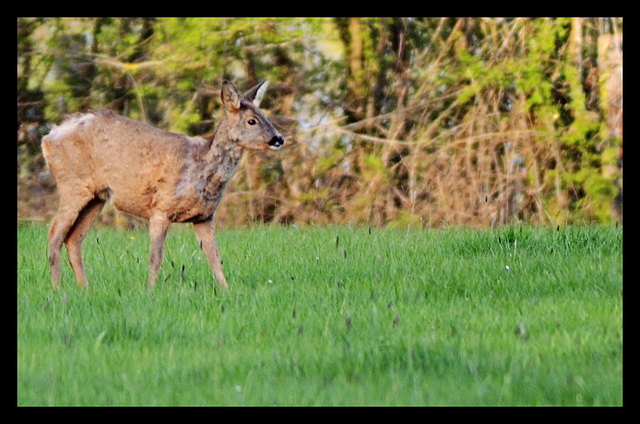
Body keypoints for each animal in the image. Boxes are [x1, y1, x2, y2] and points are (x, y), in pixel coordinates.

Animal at [43, 79, 284, 290]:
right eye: (252, 120)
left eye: (265, 116)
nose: (279, 139)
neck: (201, 169)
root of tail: (48, 137)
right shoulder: (160, 208)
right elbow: (155, 257)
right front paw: (150, 290)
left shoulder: (204, 217)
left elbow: (215, 258)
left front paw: (226, 290)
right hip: (72, 185)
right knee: (54, 233)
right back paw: (56, 288)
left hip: (96, 196)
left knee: (73, 239)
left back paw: (84, 288)